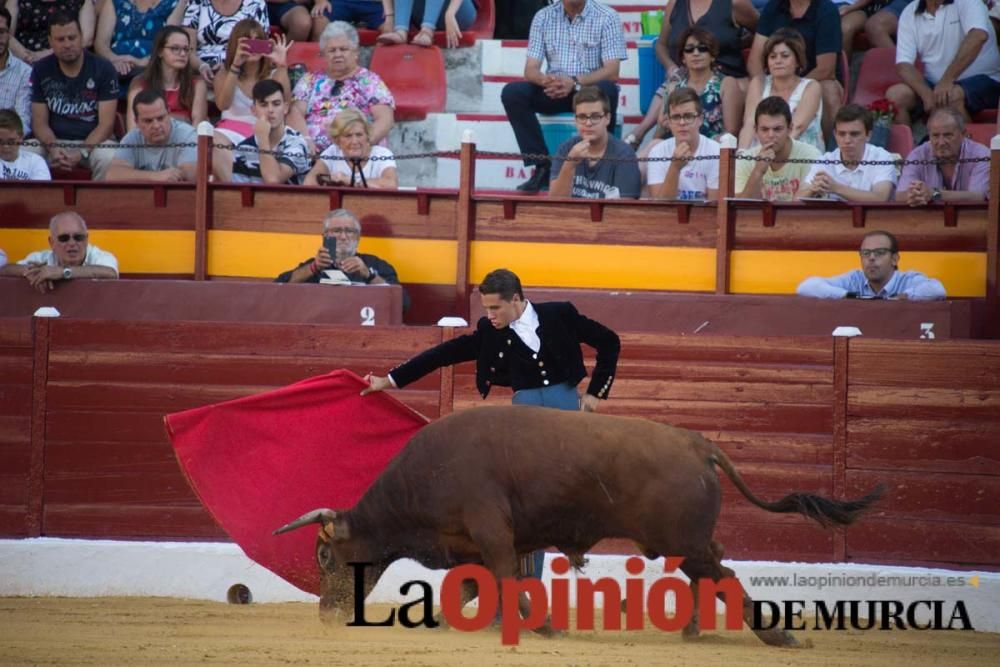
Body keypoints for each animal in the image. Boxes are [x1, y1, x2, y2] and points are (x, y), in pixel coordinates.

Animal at [276, 404, 884, 648]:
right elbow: (475, 585)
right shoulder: (466, 543)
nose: (328, 615)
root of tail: (697, 443)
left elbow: (504, 579)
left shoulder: (491, 532)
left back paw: (778, 636)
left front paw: (541, 627)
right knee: (709, 573)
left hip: (681, 539)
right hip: (686, 542)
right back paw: (694, 631)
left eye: (324, 556)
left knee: (723, 575)